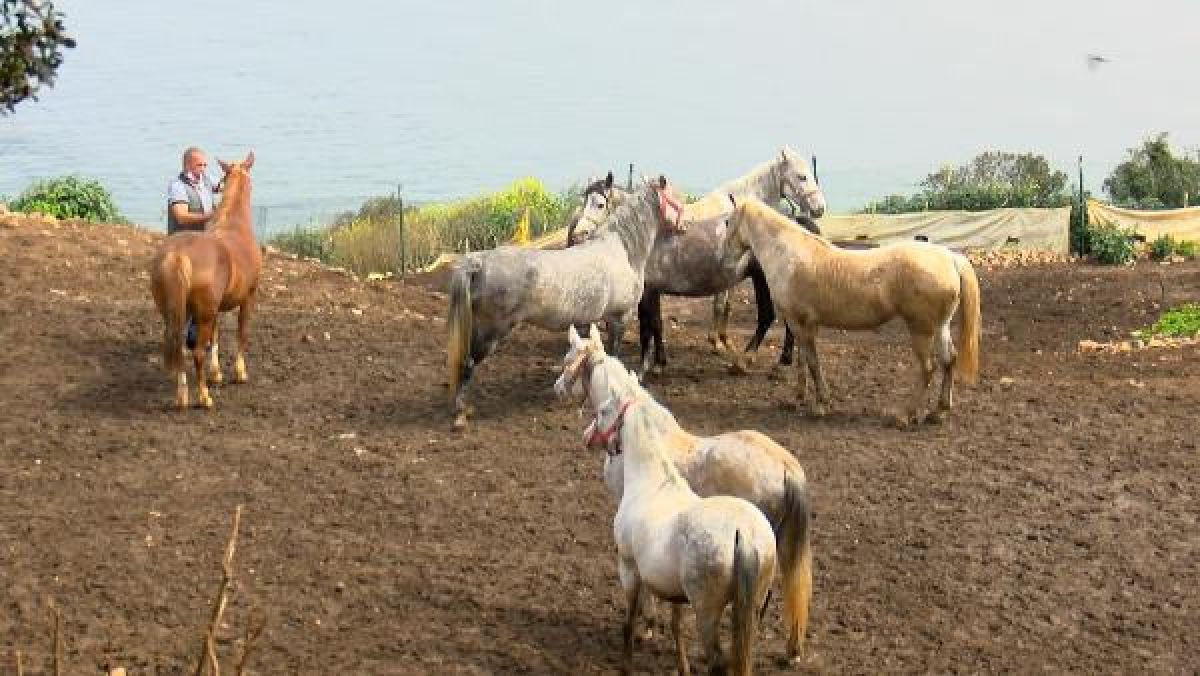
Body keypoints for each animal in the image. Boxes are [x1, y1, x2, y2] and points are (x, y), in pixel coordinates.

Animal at [149, 150, 260, 410]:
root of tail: (176, 254)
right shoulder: (249, 296)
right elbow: (241, 334)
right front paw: (239, 373)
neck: (234, 224)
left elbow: (215, 338)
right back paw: (204, 397)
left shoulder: (214, 309)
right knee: (197, 351)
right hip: (203, 313)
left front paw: (216, 374)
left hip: (178, 313)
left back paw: (182, 397)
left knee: (179, 346)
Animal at [446, 174, 686, 427]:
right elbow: (612, 354)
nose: (684, 226)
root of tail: (479, 264)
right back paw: (462, 410)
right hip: (489, 333)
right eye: (675, 198)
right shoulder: (620, 317)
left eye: (600, 203)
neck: (622, 250)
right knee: (467, 363)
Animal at [583, 391, 772, 676]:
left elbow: (630, 621)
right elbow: (676, 627)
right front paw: (682, 667)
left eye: (603, 411)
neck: (650, 483)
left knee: (718, 661)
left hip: (707, 613)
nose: (586, 437)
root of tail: (745, 534)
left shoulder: (628, 568)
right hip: (753, 608)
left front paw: (626, 665)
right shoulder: (674, 590)